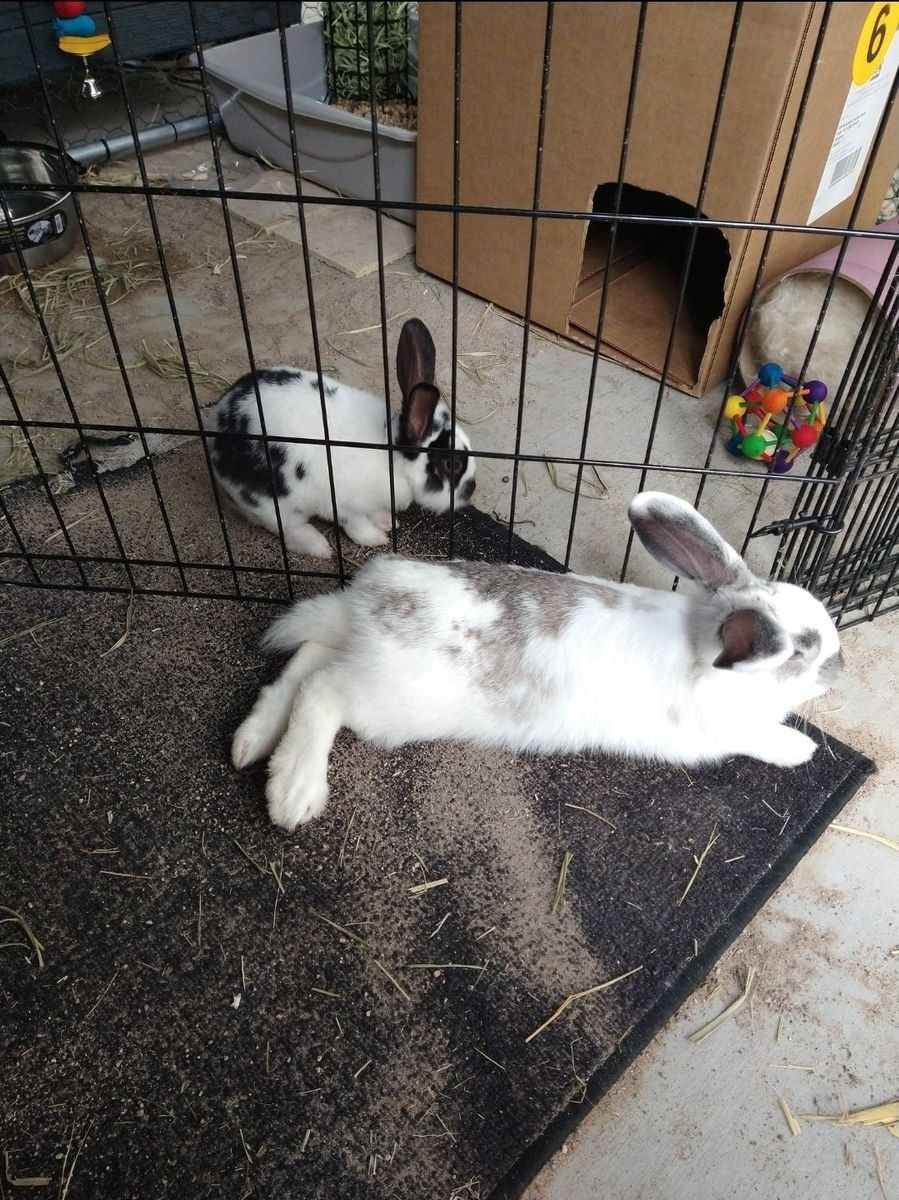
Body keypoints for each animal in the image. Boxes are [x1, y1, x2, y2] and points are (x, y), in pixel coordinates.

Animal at [209, 318, 476, 559]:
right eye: (452, 464)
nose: (471, 489)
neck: (391, 456)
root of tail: (216, 425)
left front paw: (387, 522)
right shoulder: (344, 505)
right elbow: (356, 525)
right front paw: (376, 538)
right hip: (271, 502)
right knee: (287, 528)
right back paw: (319, 548)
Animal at [231, 491, 843, 832]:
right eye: (802, 649)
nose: (839, 663)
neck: (706, 651)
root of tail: (369, 600)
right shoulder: (721, 730)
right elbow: (762, 739)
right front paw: (802, 749)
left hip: (352, 657)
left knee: (307, 659)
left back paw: (251, 741)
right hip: (387, 700)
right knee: (321, 691)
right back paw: (293, 792)